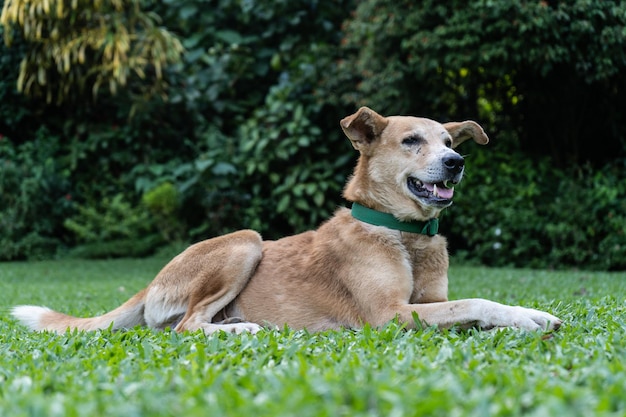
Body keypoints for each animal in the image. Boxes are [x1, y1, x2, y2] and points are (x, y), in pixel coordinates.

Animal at [13, 108, 560, 334]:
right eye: (411, 142)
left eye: (448, 142)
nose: (456, 162)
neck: (403, 235)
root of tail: (151, 282)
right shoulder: (390, 315)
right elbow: (478, 301)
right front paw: (523, 317)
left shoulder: (429, 303)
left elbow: (472, 306)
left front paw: (529, 316)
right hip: (246, 242)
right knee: (184, 327)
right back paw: (243, 331)